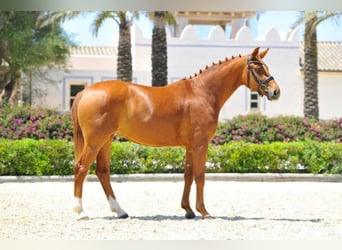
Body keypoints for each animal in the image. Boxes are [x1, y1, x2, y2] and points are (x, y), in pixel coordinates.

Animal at [71, 46, 280, 220]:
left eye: (267, 67)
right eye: (258, 68)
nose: (275, 92)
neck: (201, 92)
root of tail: (86, 92)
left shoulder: (190, 146)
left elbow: (188, 176)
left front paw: (188, 210)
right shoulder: (201, 144)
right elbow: (200, 176)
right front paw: (204, 211)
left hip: (106, 141)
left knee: (102, 172)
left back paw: (120, 211)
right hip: (95, 142)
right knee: (81, 168)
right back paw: (80, 212)